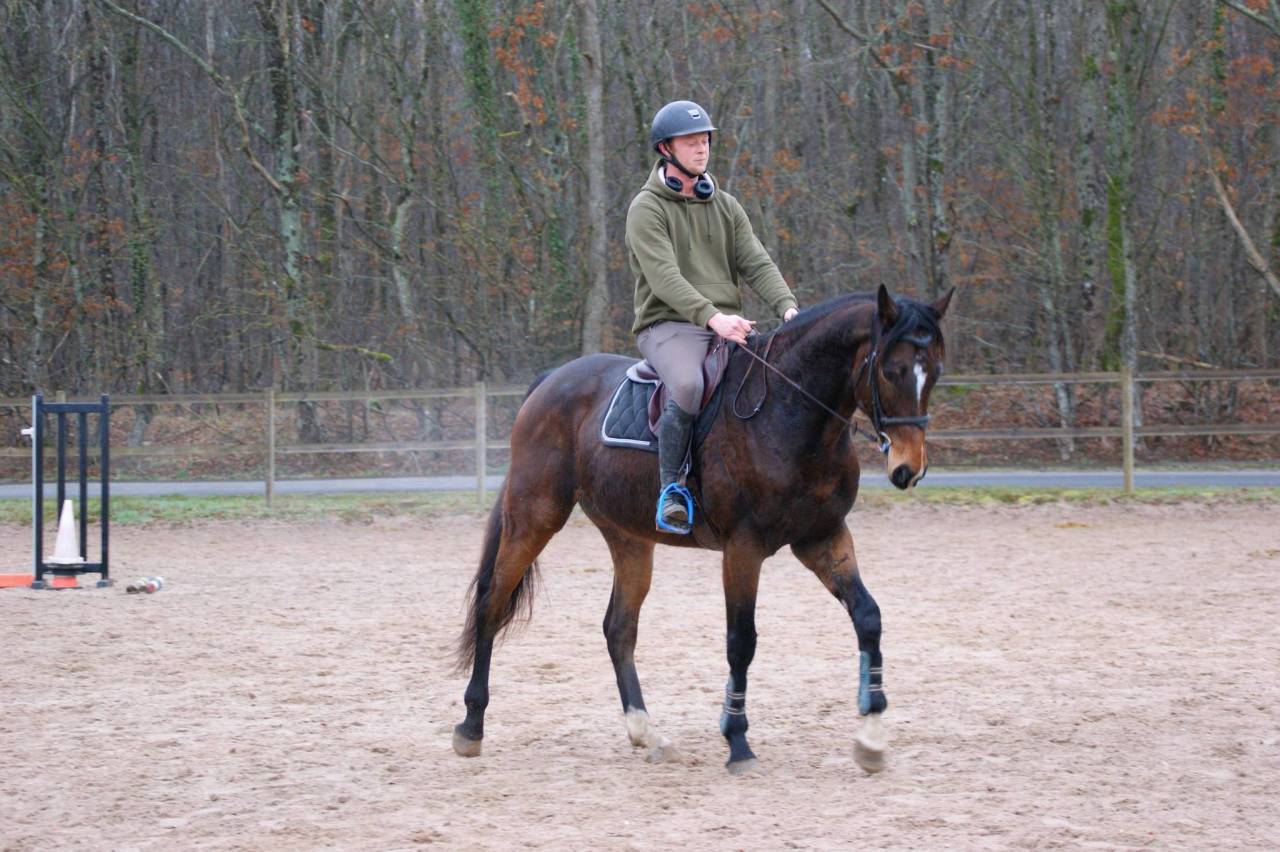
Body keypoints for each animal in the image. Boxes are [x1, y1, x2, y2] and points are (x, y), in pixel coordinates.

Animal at [453, 284, 953, 774]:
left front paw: (871, 738)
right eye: (892, 370)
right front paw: (738, 741)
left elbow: (868, 617)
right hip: (535, 516)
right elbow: (741, 641)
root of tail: (551, 381)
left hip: (629, 538)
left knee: (619, 628)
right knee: (492, 603)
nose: (909, 468)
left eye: (935, 372)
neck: (789, 412)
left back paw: (647, 732)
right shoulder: (744, 548)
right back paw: (471, 726)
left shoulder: (822, 537)